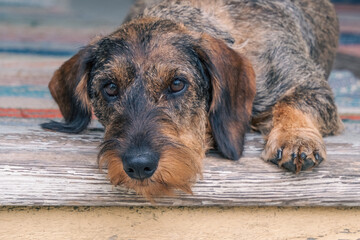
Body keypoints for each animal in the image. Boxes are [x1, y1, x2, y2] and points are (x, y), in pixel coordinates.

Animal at [41, 0, 344, 198]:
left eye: (177, 84)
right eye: (110, 87)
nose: (139, 166)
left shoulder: (311, 84)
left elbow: (294, 101)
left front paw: (295, 139)